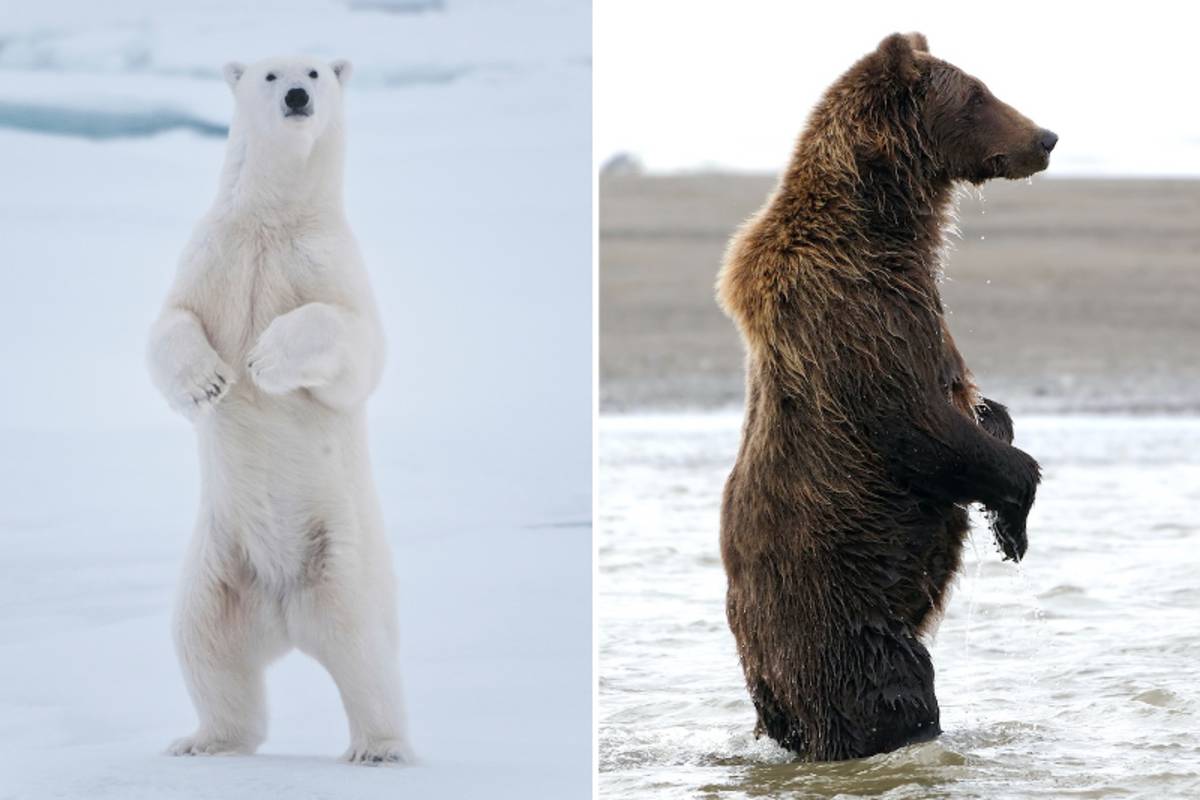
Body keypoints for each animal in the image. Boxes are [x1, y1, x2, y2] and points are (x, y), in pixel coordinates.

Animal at [145, 54, 412, 762]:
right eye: (269, 75)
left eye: (315, 71)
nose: (297, 96)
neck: (272, 221)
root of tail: (285, 615)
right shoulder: (213, 253)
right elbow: (169, 324)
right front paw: (209, 382)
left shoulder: (328, 262)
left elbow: (353, 343)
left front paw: (265, 360)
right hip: (216, 567)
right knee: (204, 645)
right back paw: (205, 740)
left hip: (344, 559)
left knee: (366, 653)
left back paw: (378, 746)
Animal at [710, 32, 1051, 762]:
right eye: (978, 95)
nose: (1046, 136)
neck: (885, 228)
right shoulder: (858, 315)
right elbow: (915, 422)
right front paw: (1016, 513)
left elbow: (973, 412)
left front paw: (1002, 463)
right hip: (841, 626)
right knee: (892, 700)